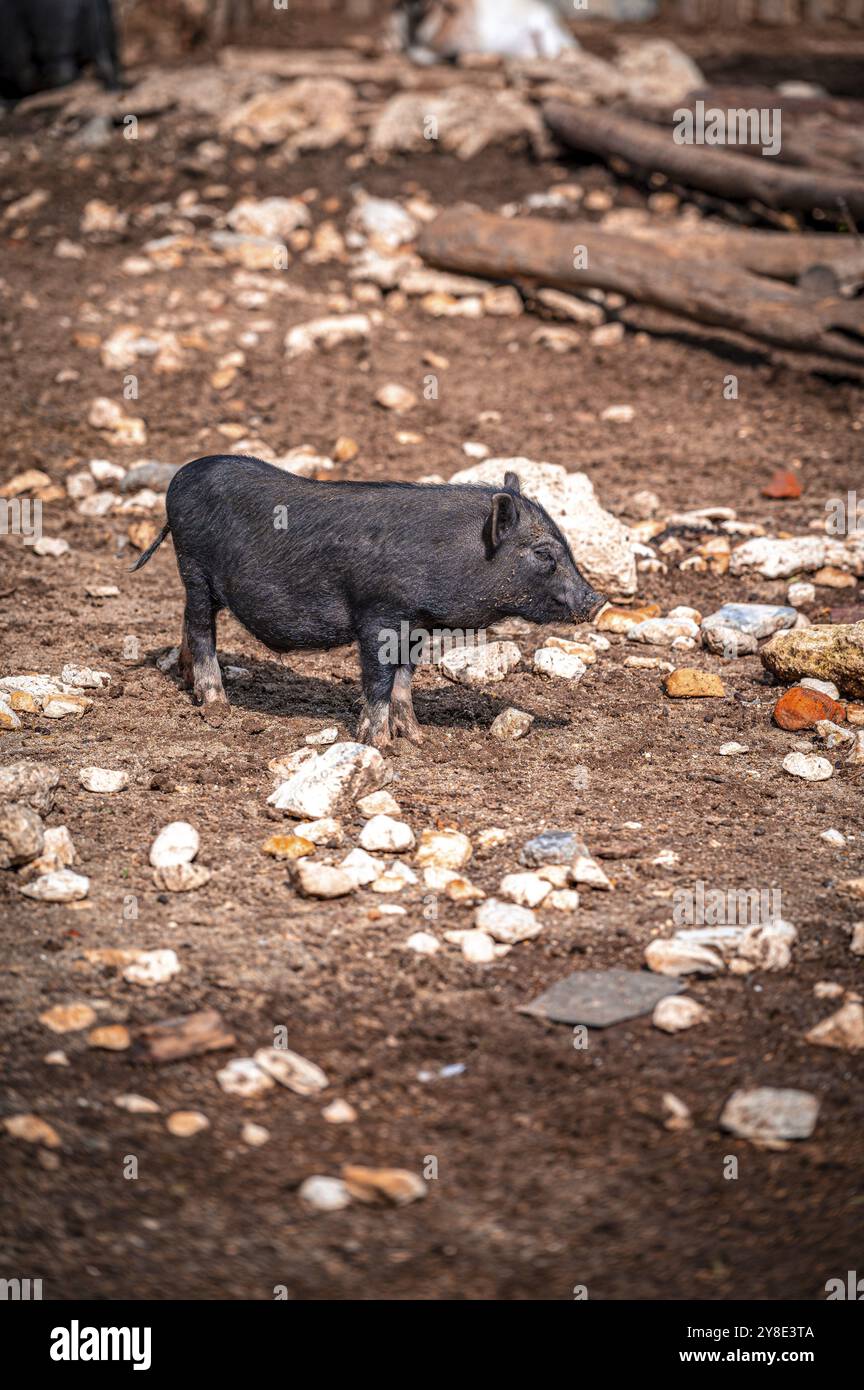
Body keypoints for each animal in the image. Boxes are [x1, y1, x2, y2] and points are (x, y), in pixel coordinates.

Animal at [132, 454, 606, 747]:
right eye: (543, 553)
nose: (598, 600)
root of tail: (178, 479)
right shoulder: (380, 613)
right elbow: (378, 677)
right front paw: (376, 743)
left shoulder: (416, 624)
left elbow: (405, 678)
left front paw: (415, 738)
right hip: (193, 567)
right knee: (201, 629)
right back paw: (216, 704)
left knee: (189, 622)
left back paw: (189, 684)